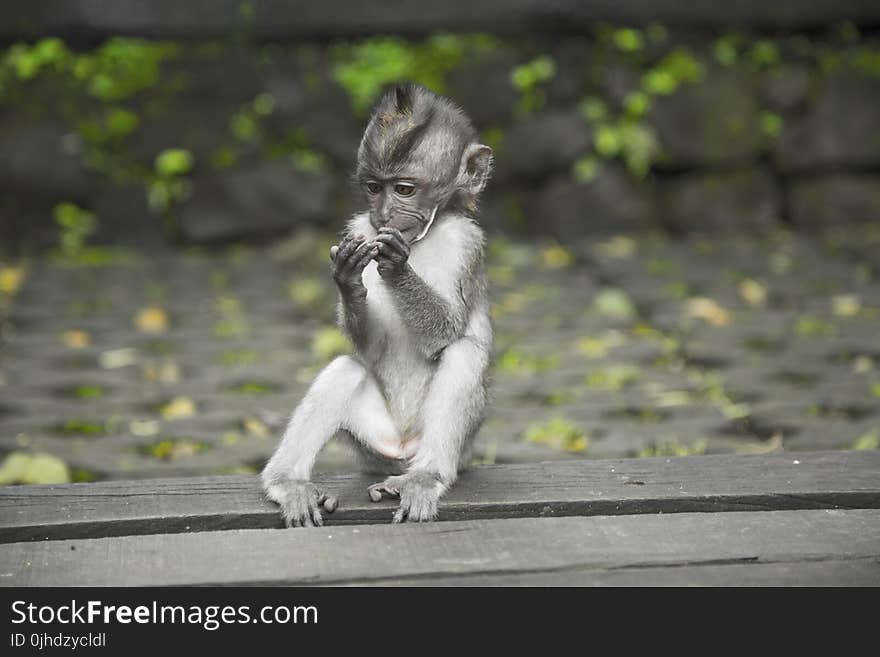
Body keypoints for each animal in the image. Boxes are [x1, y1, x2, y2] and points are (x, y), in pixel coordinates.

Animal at [262, 82, 496, 524]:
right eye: (373, 187)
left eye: (403, 189)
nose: (384, 214)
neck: (426, 236)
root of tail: (402, 448)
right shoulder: (358, 226)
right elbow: (369, 348)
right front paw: (349, 280)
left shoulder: (467, 243)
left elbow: (447, 333)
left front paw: (396, 267)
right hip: (371, 443)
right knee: (344, 368)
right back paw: (288, 483)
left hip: (461, 447)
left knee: (463, 355)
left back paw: (424, 478)